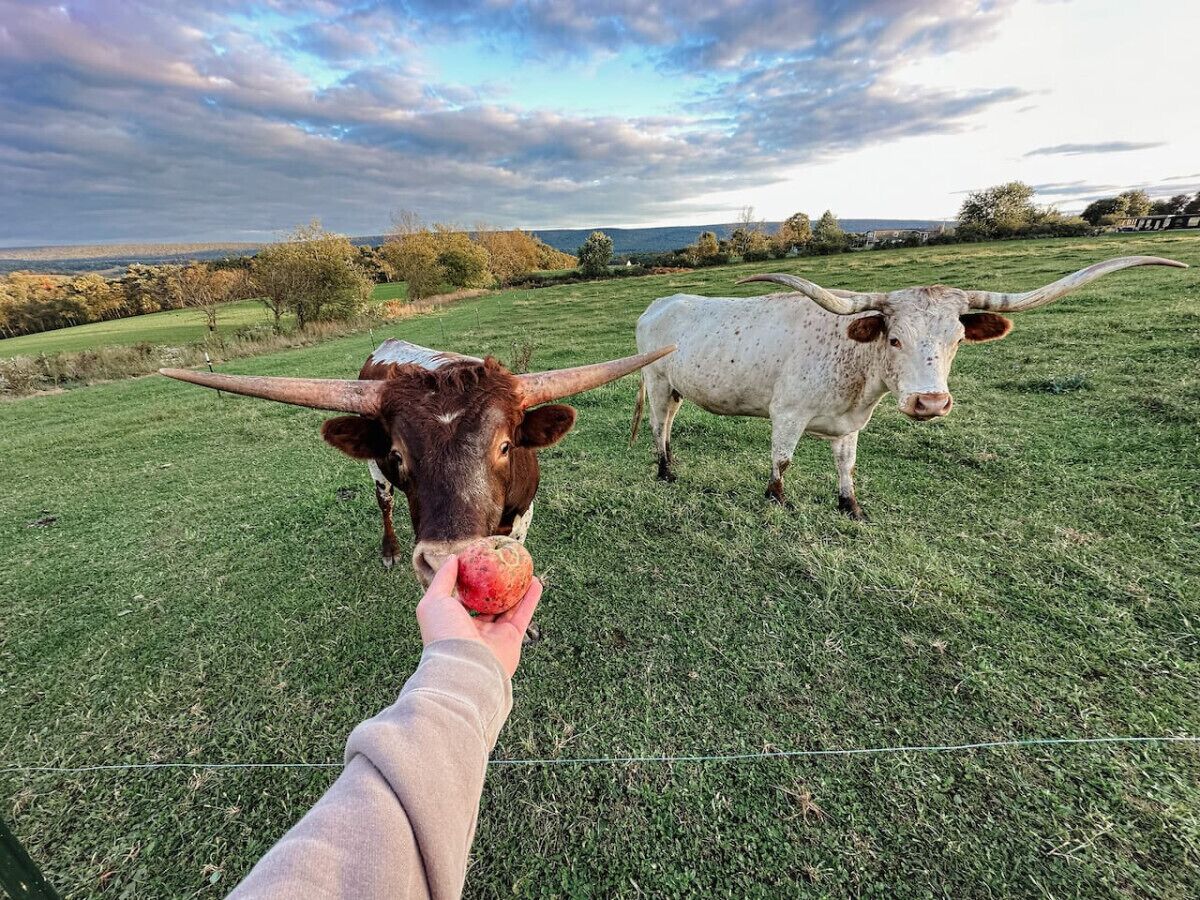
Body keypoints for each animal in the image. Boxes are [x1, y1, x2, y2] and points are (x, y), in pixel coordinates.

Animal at [161, 339, 673, 584]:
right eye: (397, 453)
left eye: (505, 446)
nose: (450, 559)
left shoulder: (524, 512)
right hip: (375, 478)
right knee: (384, 504)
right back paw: (388, 549)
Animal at [631, 255, 1186, 519]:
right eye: (894, 338)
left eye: (958, 339)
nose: (930, 402)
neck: (855, 364)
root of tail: (660, 301)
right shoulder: (787, 413)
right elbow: (782, 461)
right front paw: (777, 502)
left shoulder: (849, 424)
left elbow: (847, 465)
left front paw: (851, 508)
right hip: (656, 381)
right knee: (659, 425)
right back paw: (665, 473)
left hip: (675, 387)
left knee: (671, 422)